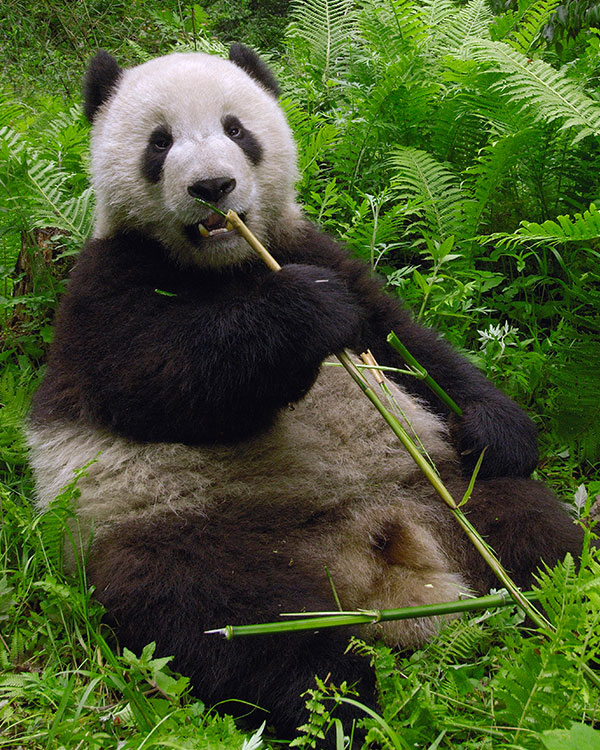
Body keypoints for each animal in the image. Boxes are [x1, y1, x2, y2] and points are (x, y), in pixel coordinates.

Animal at [28, 47, 584, 748]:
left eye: (236, 129)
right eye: (160, 142)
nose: (213, 188)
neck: (228, 262)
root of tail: (384, 562)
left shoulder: (310, 246)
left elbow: (409, 347)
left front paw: (497, 428)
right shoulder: (103, 289)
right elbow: (160, 378)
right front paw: (306, 311)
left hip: (446, 493)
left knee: (536, 531)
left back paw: (549, 601)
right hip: (183, 534)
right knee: (234, 623)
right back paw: (344, 705)